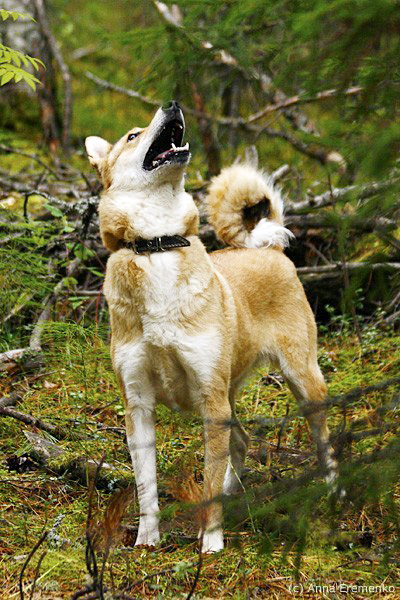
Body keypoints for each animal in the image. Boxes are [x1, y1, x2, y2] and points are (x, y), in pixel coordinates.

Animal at [85, 101, 337, 554]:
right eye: (132, 136)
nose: (172, 104)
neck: (157, 246)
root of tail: (265, 246)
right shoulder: (139, 406)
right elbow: (146, 485)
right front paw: (147, 539)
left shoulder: (211, 402)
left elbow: (208, 482)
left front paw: (212, 543)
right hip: (229, 393)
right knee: (241, 441)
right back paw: (234, 491)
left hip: (302, 380)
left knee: (322, 439)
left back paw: (333, 489)